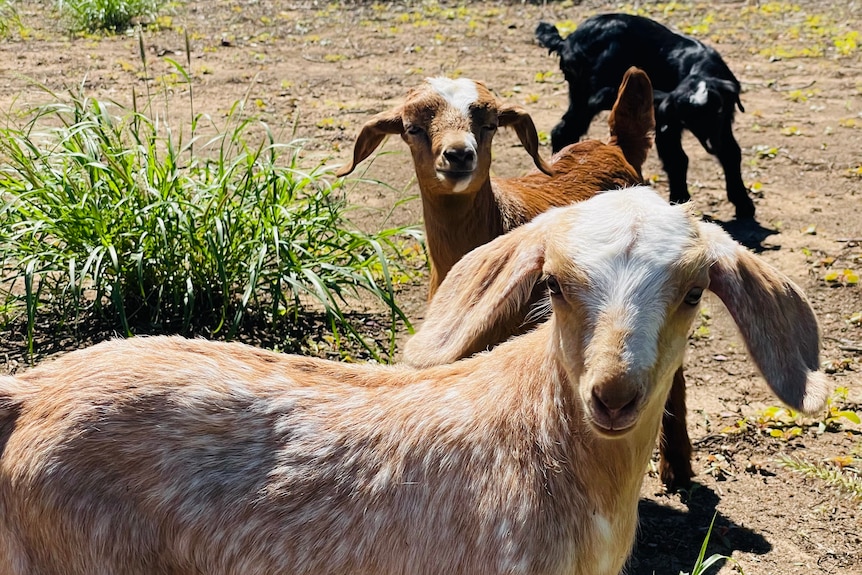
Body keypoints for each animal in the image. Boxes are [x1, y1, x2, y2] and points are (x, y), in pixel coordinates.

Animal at [536, 14, 760, 220]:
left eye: (718, 110)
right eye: (688, 118)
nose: (711, 145)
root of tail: (567, 41)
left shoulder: (723, 123)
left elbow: (731, 152)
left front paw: (744, 205)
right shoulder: (667, 121)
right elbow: (677, 159)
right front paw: (680, 200)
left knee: (564, 129)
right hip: (584, 95)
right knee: (565, 129)